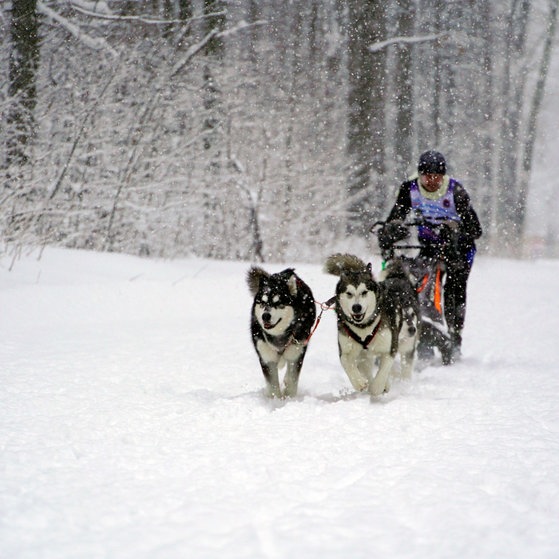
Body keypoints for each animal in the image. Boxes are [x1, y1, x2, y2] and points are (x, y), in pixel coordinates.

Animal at [247, 266, 318, 398]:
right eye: (262, 302)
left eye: (278, 303)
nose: (265, 316)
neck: (278, 336)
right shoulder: (266, 357)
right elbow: (273, 385)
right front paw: (275, 400)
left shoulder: (296, 353)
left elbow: (292, 380)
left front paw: (289, 398)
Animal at [324, 255, 420, 398]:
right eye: (349, 293)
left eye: (364, 292)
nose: (356, 307)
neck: (364, 327)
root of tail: (398, 278)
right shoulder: (346, 349)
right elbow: (346, 362)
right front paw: (359, 382)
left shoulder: (390, 348)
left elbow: (382, 372)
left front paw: (378, 387)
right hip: (365, 354)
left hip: (406, 343)